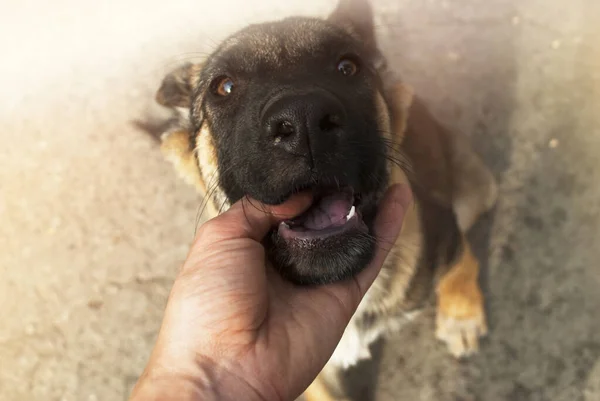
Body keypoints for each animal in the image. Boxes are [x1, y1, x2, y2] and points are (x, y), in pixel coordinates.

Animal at [141, 1, 496, 398]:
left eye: (347, 67)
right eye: (224, 87)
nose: (303, 121)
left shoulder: (442, 224)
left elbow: (462, 259)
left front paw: (462, 314)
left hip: (479, 187)